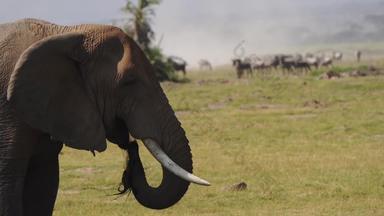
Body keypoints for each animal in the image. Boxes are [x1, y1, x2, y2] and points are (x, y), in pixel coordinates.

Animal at [0, 19, 210, 216]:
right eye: (129, 82)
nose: (131, 146)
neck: (66, 33)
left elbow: (44, 184)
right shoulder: (9, 113)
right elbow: (8, 182)